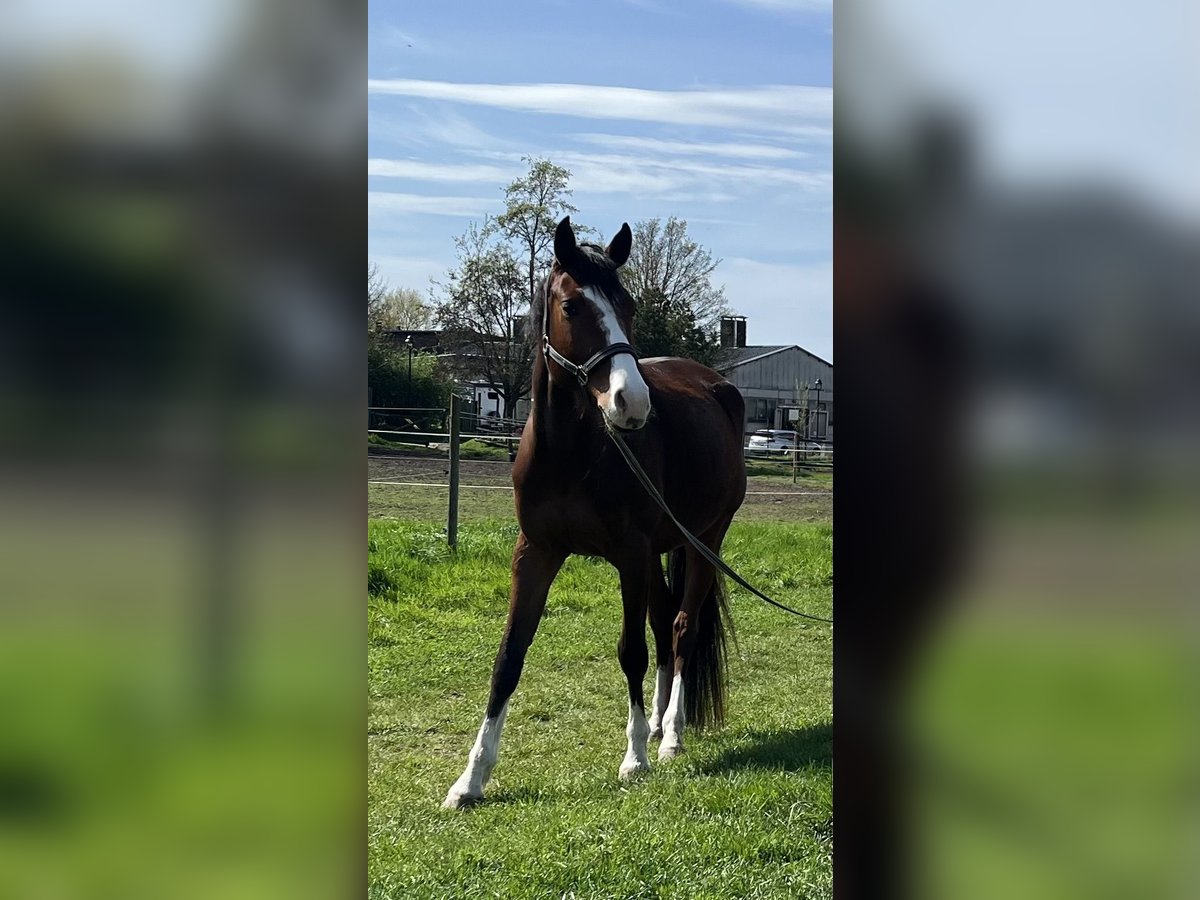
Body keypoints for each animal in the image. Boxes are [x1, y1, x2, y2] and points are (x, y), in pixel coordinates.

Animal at [444, 217, 739, 811]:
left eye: (628, 306)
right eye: (573, 306)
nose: (632, 403)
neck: (572, 452)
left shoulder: (629, 554)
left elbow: (631, 651)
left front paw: (634, 759)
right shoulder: (536, 552)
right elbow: (508, 658)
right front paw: (471, 779)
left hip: (705, 541)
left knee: (681, 628)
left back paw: (669, 736)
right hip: (661, 551)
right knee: (665, 623)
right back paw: (657, 723)